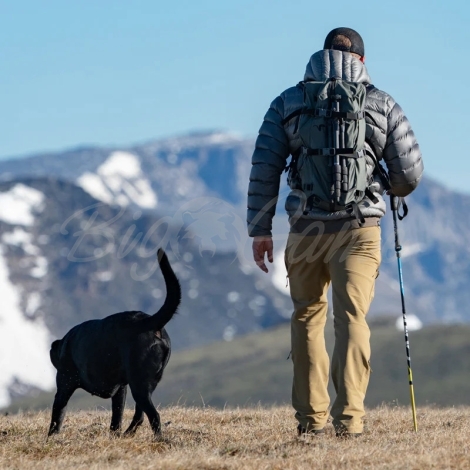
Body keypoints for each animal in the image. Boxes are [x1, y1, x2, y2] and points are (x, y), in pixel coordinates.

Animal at [47, 250, 180, 436]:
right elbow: (117, 417)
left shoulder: (64, 383)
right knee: (140, 415)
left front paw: (51, 437)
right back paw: (127, 434)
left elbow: (57, 416)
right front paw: (114, 435)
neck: (65, 345)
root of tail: (150, 321)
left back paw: (158, 439)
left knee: (154, 415)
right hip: (142, 385)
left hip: (139, 385)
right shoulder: (120, 390)